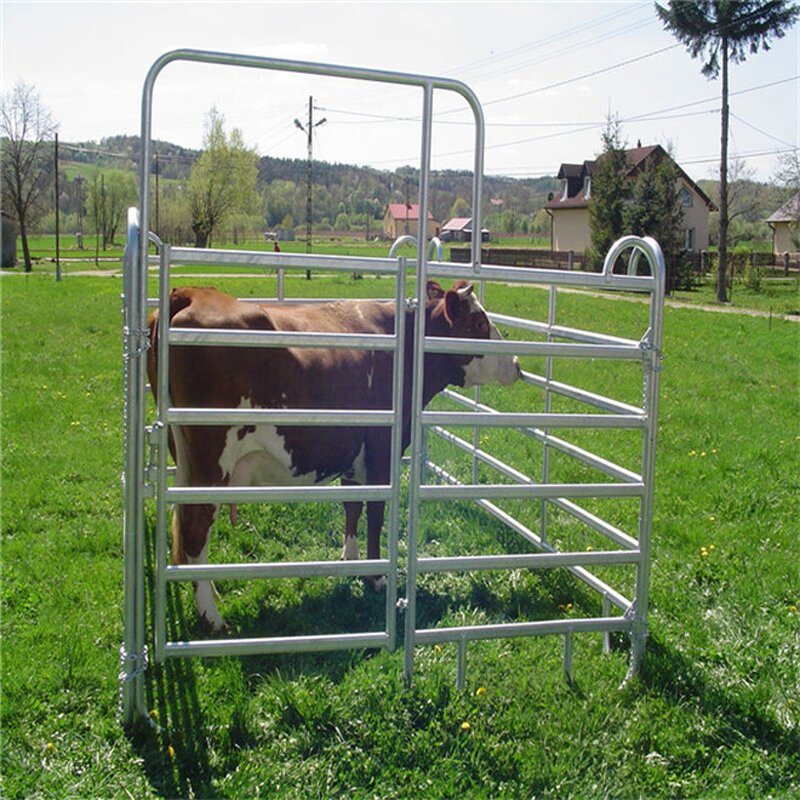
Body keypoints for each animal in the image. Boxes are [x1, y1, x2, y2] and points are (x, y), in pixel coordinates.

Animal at [147, 280, 521, 630]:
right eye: (478, 323)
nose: (517, 363)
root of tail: (192, 293)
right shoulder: (382, 449)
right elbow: (376, 513)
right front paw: (376, 576)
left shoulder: (355, 452)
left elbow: (352, 507)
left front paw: (351, 561)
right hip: (212, 461)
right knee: (196, 527)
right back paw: (212, 616)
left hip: (187, 459)